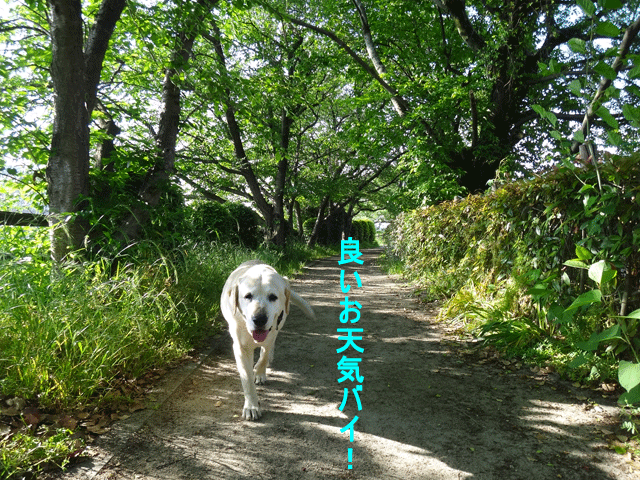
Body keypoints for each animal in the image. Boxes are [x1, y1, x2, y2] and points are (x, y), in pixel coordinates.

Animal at [220, 258, 316, 420]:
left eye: (273, 297)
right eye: (248, 296)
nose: (259, 319)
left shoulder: (271, 333)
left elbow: (264, 356)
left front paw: (259, 372)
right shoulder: (240, 348)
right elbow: (246, 378)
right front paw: (251, 406)